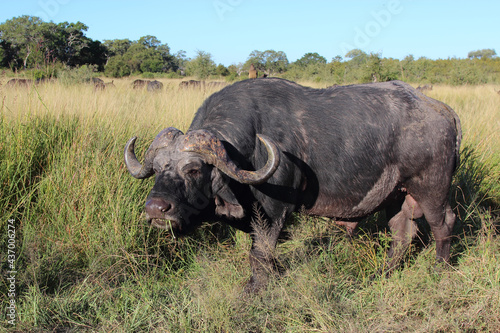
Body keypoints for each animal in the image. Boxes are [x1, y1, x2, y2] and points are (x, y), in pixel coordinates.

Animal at [125, 78, 460, 290]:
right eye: (157, 168)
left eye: (194, 169)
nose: (156, 208)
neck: (249, 151)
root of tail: (443, 111)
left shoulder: (274, 212)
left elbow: (259, 255)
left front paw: (255, 289)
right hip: (397, 194)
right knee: (401, 232)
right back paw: (383, 273)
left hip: (431, 189)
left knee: (443, 224)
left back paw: (440, 270)